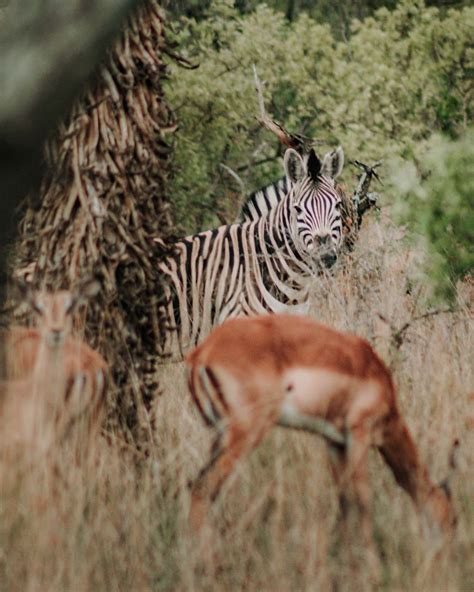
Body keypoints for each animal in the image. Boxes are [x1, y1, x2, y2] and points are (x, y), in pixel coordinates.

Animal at [185, 314, 456, 544]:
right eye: (451, 520)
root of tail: (202, 352)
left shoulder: (335, 442)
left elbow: (345, 501)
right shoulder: (359, 434)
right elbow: (364, 500)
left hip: (220, 435)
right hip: (245, 434)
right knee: (202, 489)